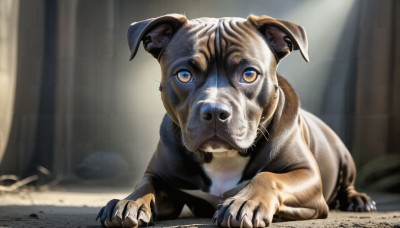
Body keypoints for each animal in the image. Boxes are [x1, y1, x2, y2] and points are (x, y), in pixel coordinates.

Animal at [96, 13, 376, 226]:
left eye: (249, 74)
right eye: (184, 75)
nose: (214, 112)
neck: (222, 158)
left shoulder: (307, 176)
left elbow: (269, 177)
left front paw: (245, 202)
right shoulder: (160, 176)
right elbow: (146, 183)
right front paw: (128, 201)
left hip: (344, 156)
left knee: (349, 184)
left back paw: (359, 200)